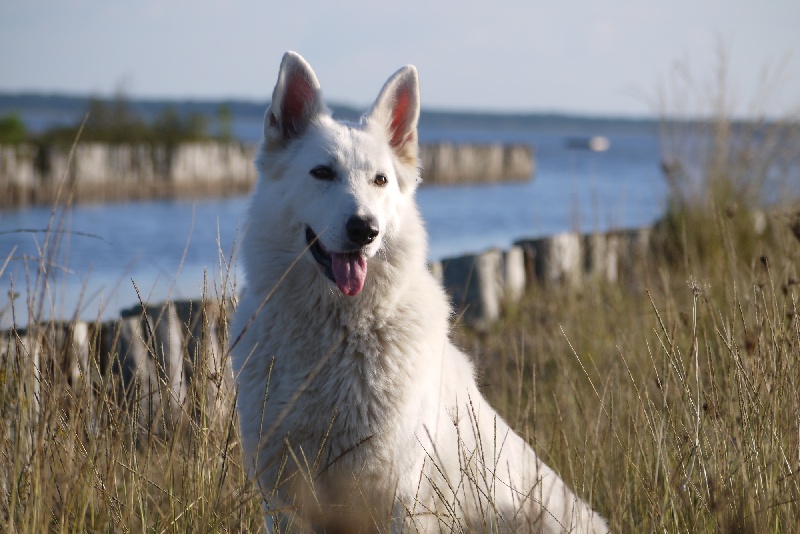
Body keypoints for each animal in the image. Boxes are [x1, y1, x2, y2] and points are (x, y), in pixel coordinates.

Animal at [231, 51, 608, 534]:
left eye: (380, 180)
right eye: (322, 173)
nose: (365, 229)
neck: (335, 337)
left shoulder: (403, 503)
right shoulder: (283, 503)